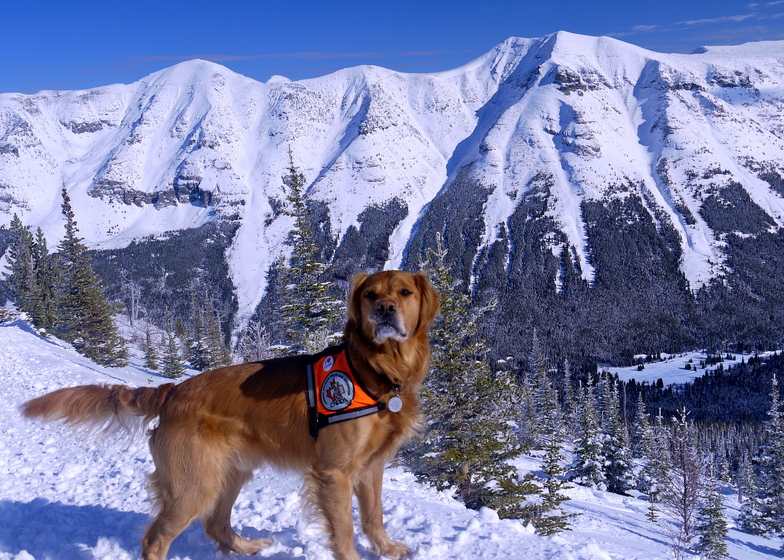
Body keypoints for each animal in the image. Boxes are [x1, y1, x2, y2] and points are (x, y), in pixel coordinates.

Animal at [21, 270, 438, 560]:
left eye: (404, 292)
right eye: (370, 294)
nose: (384, 310)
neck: (374, 373)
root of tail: (172, 391)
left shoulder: (371, 466)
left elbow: (373, 516)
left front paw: (388, 549)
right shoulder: (334, 472)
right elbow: (345, 530)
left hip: (229, 472)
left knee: (215, 524)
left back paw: (249, 547)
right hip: (195, 483)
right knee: (156, 538)